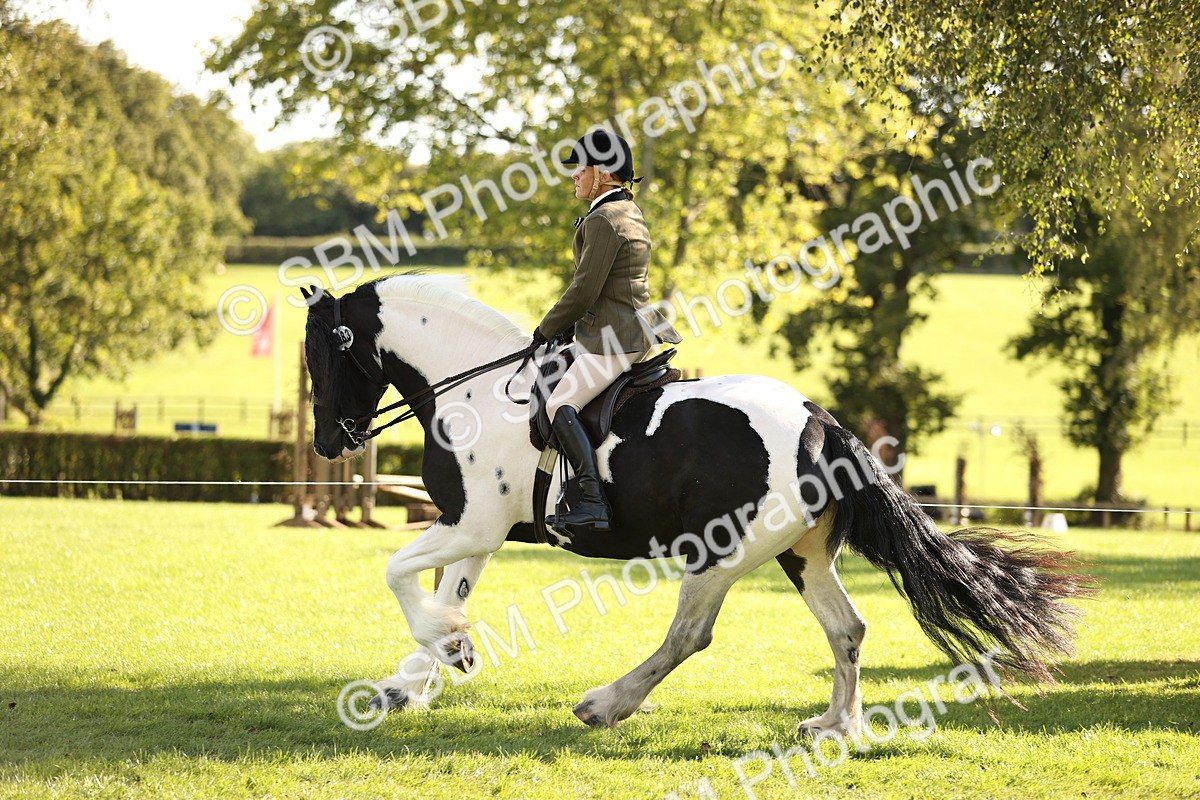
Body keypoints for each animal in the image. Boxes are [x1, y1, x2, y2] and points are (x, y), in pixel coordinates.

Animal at [302, 274, 1091, 733]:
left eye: (321, 357)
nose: (329, 443)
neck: (475, 389)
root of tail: (821, 423)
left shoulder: (470, 523)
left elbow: (398, 573)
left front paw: (442, 653)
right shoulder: (477, 530)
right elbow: (439, 593)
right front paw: (426, 669)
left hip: (719, 552)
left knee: (690, 636)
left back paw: (605, 704)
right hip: (801, 555)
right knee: (848, 628)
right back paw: (834, 726)